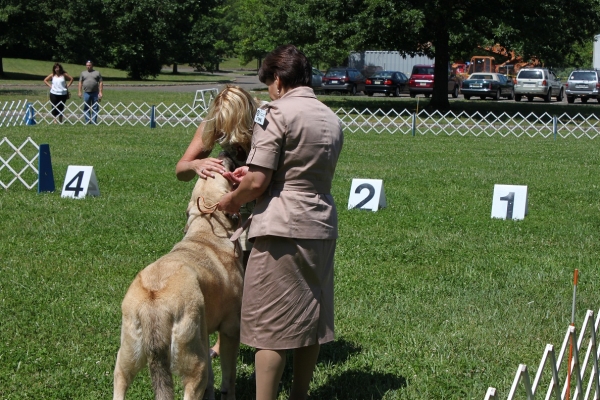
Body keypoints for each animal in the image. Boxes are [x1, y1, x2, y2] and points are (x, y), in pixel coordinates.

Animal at [113, 154, 243, 400]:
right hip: (193, 365)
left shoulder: (204, 335)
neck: (206, 227)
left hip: (126, 356)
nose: (223, 155)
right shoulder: (230, 329)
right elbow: (229, 377)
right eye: (222, 170)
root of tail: (154, 306)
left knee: (120, 383)